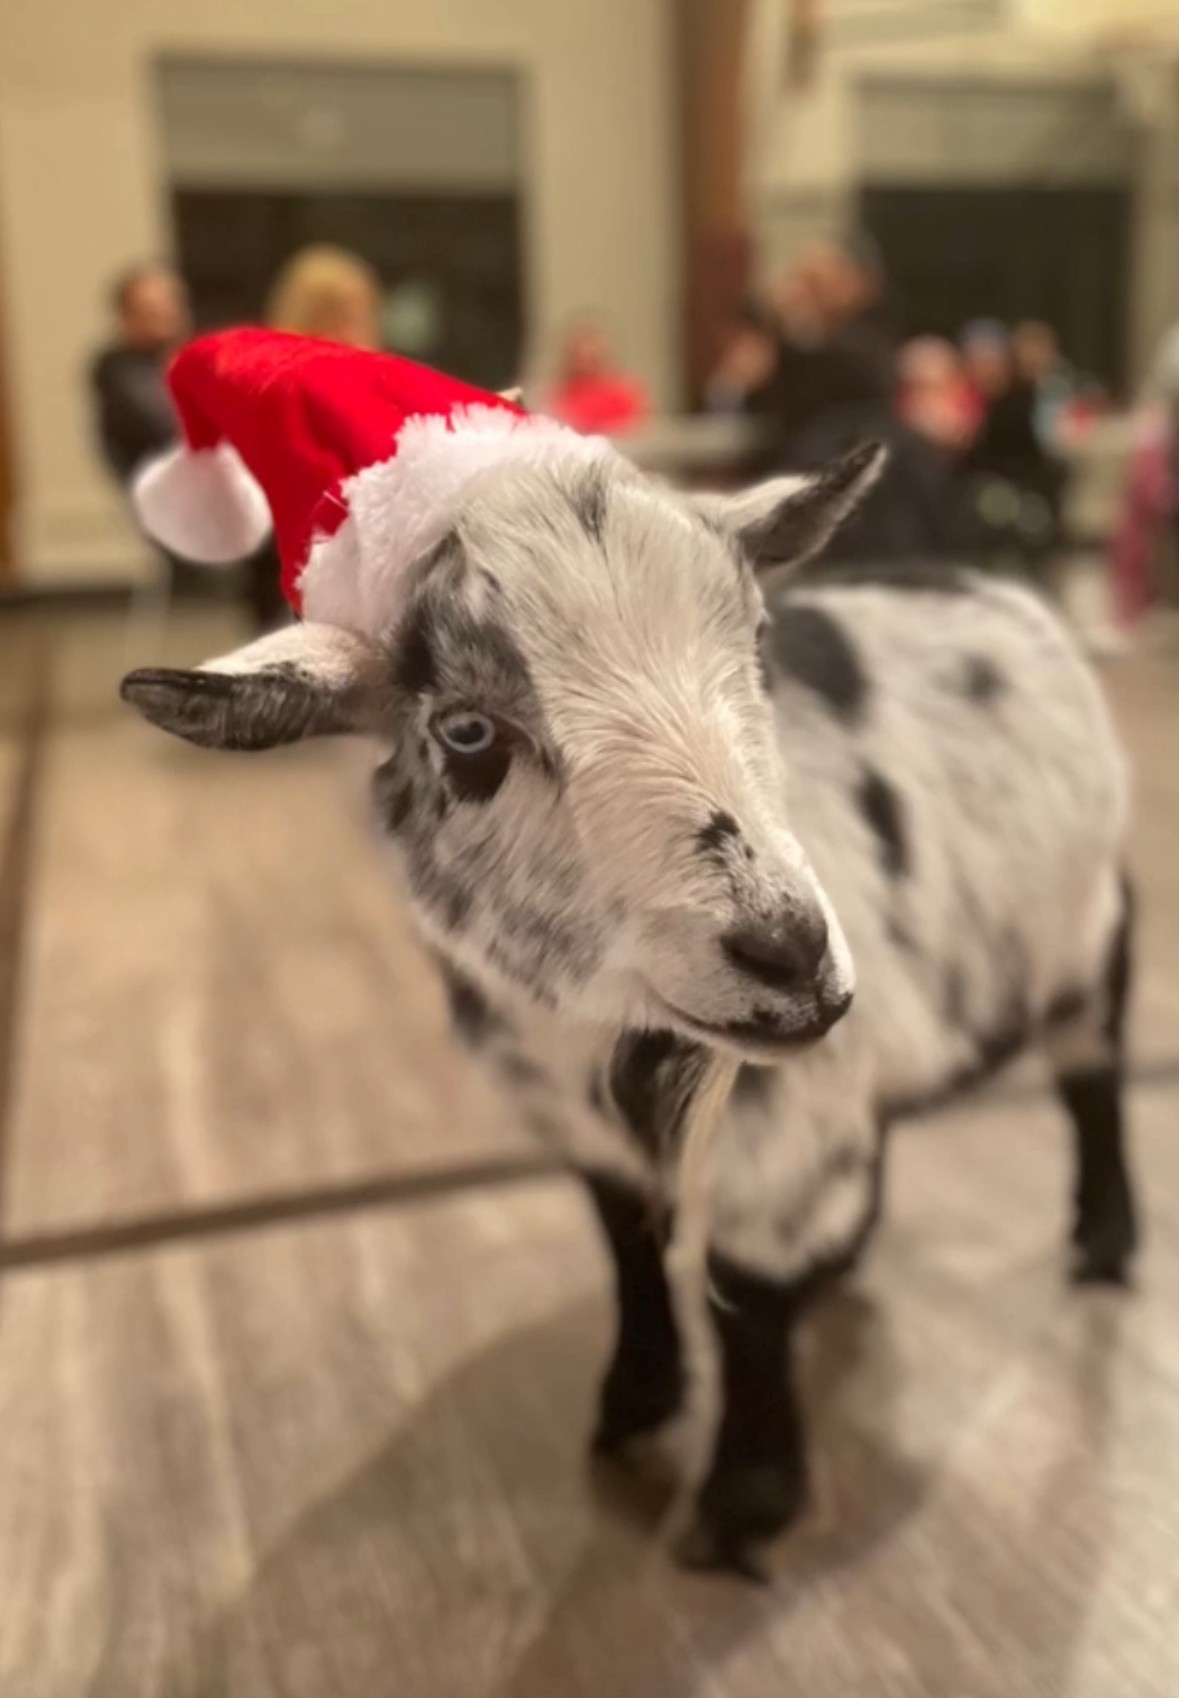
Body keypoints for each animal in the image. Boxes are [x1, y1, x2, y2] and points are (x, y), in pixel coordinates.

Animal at [122, 440, 1137, 1575]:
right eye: (466, 732)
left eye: (757, 643)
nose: (790, 952)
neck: (591, 1033)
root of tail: (974, 574)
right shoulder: (590, 1126)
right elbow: (630, 1254)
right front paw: (634, 1405)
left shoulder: (783, 1132)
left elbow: (750, 1301)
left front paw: (741, 1502)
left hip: (1088, 923)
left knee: (1094, 1072)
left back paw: (1104, 1242)